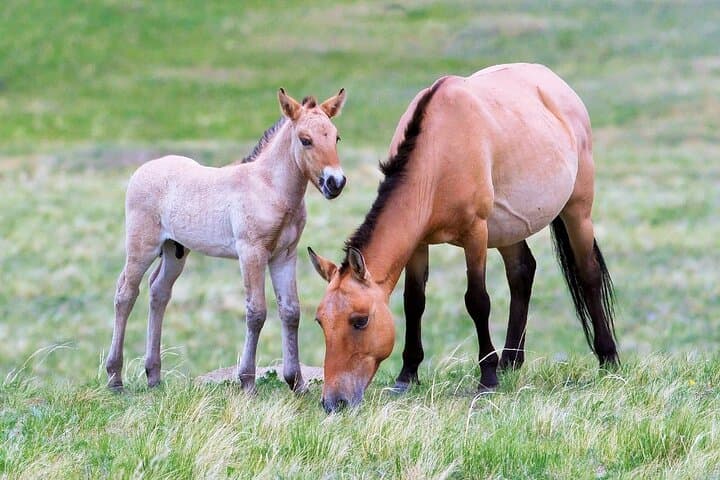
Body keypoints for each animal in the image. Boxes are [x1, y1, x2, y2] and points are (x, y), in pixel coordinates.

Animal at [105, 87, 347, 393]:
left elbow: (291, 311)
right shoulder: (251, 252)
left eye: (336, 137)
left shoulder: (285, 255)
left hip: (175, 251)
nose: (335, 183)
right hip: (142, 247)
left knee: (158, 292)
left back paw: (154, 376)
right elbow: (256, 312)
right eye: (305, 140)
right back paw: (115, 378)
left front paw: (297, 383)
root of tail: (142, 170)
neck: (269, 187)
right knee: (126, 293)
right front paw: (247, 382)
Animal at [308, 63, 618, 412]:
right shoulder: (419, 244)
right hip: (509, 230)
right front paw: (407, 375)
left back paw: (607, 358)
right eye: (320, 321)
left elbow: (477, 301)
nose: (334, 402)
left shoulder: (475, 234)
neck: (438, 153)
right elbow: (414, 302)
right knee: (522, 273)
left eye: (359, 321)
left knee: (588, 274)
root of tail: (559, 87)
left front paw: (488, 378)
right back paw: (510, 362)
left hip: (577, 210)